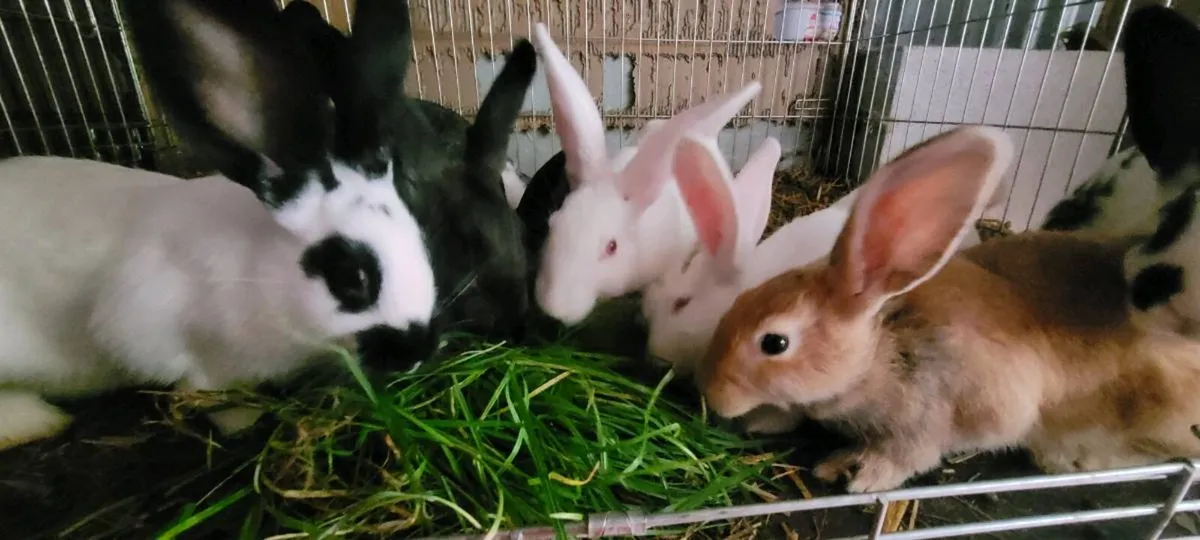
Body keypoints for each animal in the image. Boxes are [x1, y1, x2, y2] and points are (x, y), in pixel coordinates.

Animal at [0, 0, 439, 450]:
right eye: (352, 277)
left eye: (423, 242)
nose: (417, 350)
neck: (257, 274)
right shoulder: (160, 328)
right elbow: (207, 390)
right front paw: (244, 420)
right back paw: (36, 421)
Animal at [695, 124, 1200, 494]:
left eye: (774, 342)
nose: (713, 395)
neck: (879, 356)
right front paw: (765, 420)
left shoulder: (935, 418)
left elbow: (910, 456)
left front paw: (857, 473)